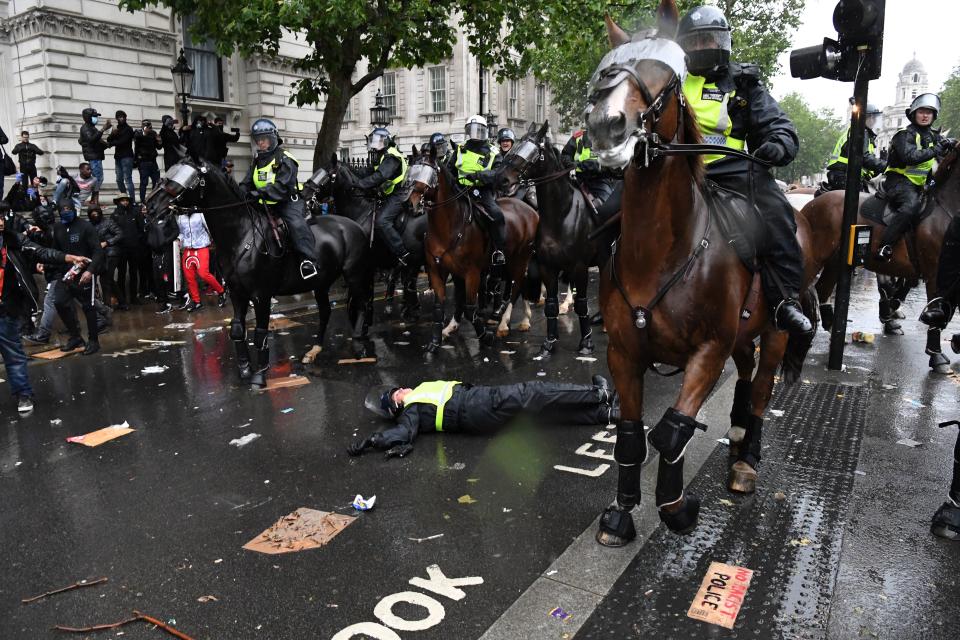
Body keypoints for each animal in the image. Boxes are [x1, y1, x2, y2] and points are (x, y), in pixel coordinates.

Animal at [406, 148, 540, 352]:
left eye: (428, 173)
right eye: (411, 170)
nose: (410, 204)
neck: (449, 226)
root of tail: (530, 210)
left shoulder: (472, 273)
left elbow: (470, 309)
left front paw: (485, 336)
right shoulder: (438, 270)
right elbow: (441, 306)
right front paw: (436, 341)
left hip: (520, 258)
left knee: (516, 286)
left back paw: (505, 323)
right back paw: (522, 318)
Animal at [588, 3, 820, 544]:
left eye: (667, 78)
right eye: (607, 68)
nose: (608, 127)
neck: (659, 255)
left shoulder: (707, 351)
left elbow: (672, 429)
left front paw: (674, 507)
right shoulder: (623, 353)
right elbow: (630, 439)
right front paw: (621, 513)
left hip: (774, 330)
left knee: (762, 389)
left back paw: (746, 459)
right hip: (744, 332)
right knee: (746, 375)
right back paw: (734, 431)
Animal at [808, 148, 956, 372]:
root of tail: (815, 201)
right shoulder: (933, 273)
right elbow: (935, 310)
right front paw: (937, 356)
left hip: (834, 261)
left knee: (822, 289)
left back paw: (834, 329)